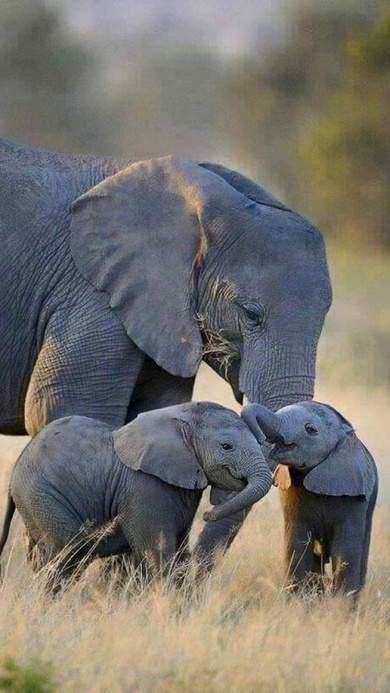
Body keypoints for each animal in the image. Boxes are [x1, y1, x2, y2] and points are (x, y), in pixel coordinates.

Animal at [0, 400, 272, 588]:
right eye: (227, 447)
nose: (208, 513)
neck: (181, 417)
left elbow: (180, 552)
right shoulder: (144, 487)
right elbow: (159, 554)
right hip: (42, 495)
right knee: (66, 556)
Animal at [244, 400, 378, 596]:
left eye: (311, 430)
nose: (260, 439)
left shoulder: (354, 496)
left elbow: (345, 550)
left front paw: (340, 604)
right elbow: (297, 545)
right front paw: (298, 601)